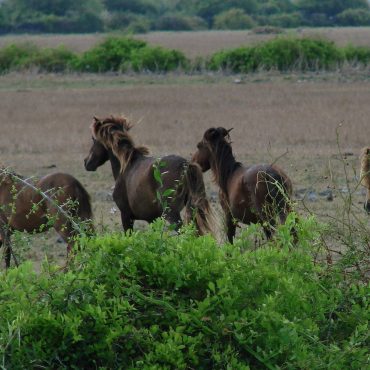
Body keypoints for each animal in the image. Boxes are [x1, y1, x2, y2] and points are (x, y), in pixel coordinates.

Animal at [84, 115, 214, 234]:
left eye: (93, 139)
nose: (86, 162)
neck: (127, 165)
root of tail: (186, 165)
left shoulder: (126, 216)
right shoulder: (152, 219)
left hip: (172, 213)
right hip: (192, 210)